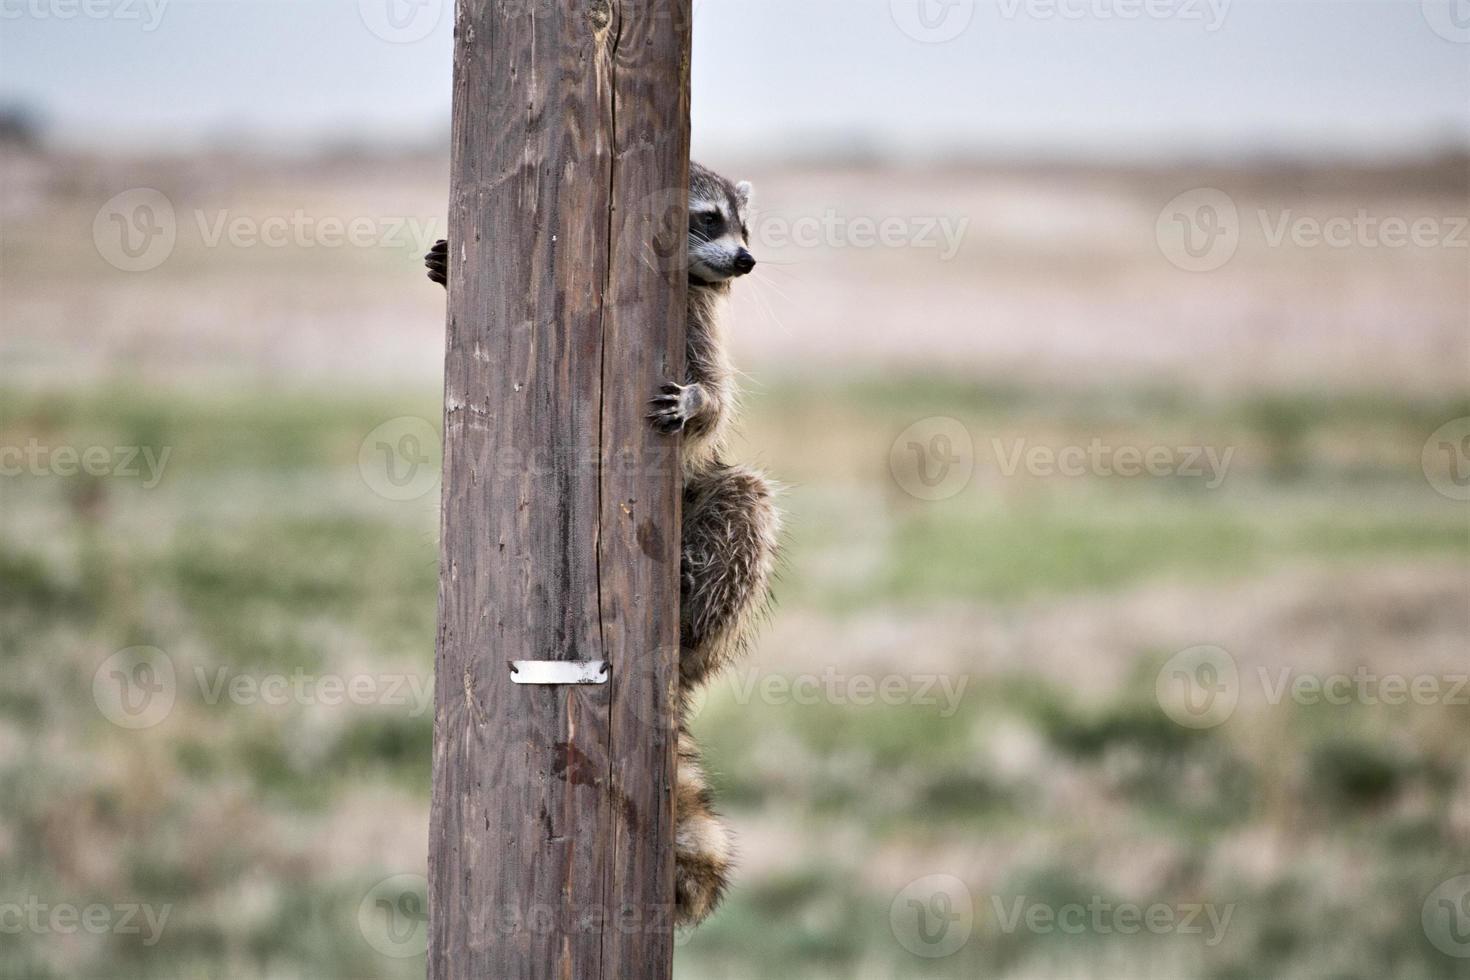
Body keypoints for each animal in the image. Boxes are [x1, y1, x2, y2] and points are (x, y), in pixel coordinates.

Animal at [426, 160, 782, 928]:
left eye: (743, 224)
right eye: (709, 219)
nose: (746, 260)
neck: (688, 278)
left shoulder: (700, 323)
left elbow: (716, 402)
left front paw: (699, 403)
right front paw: (442, 270)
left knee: (746, 495)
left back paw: (694, 606)